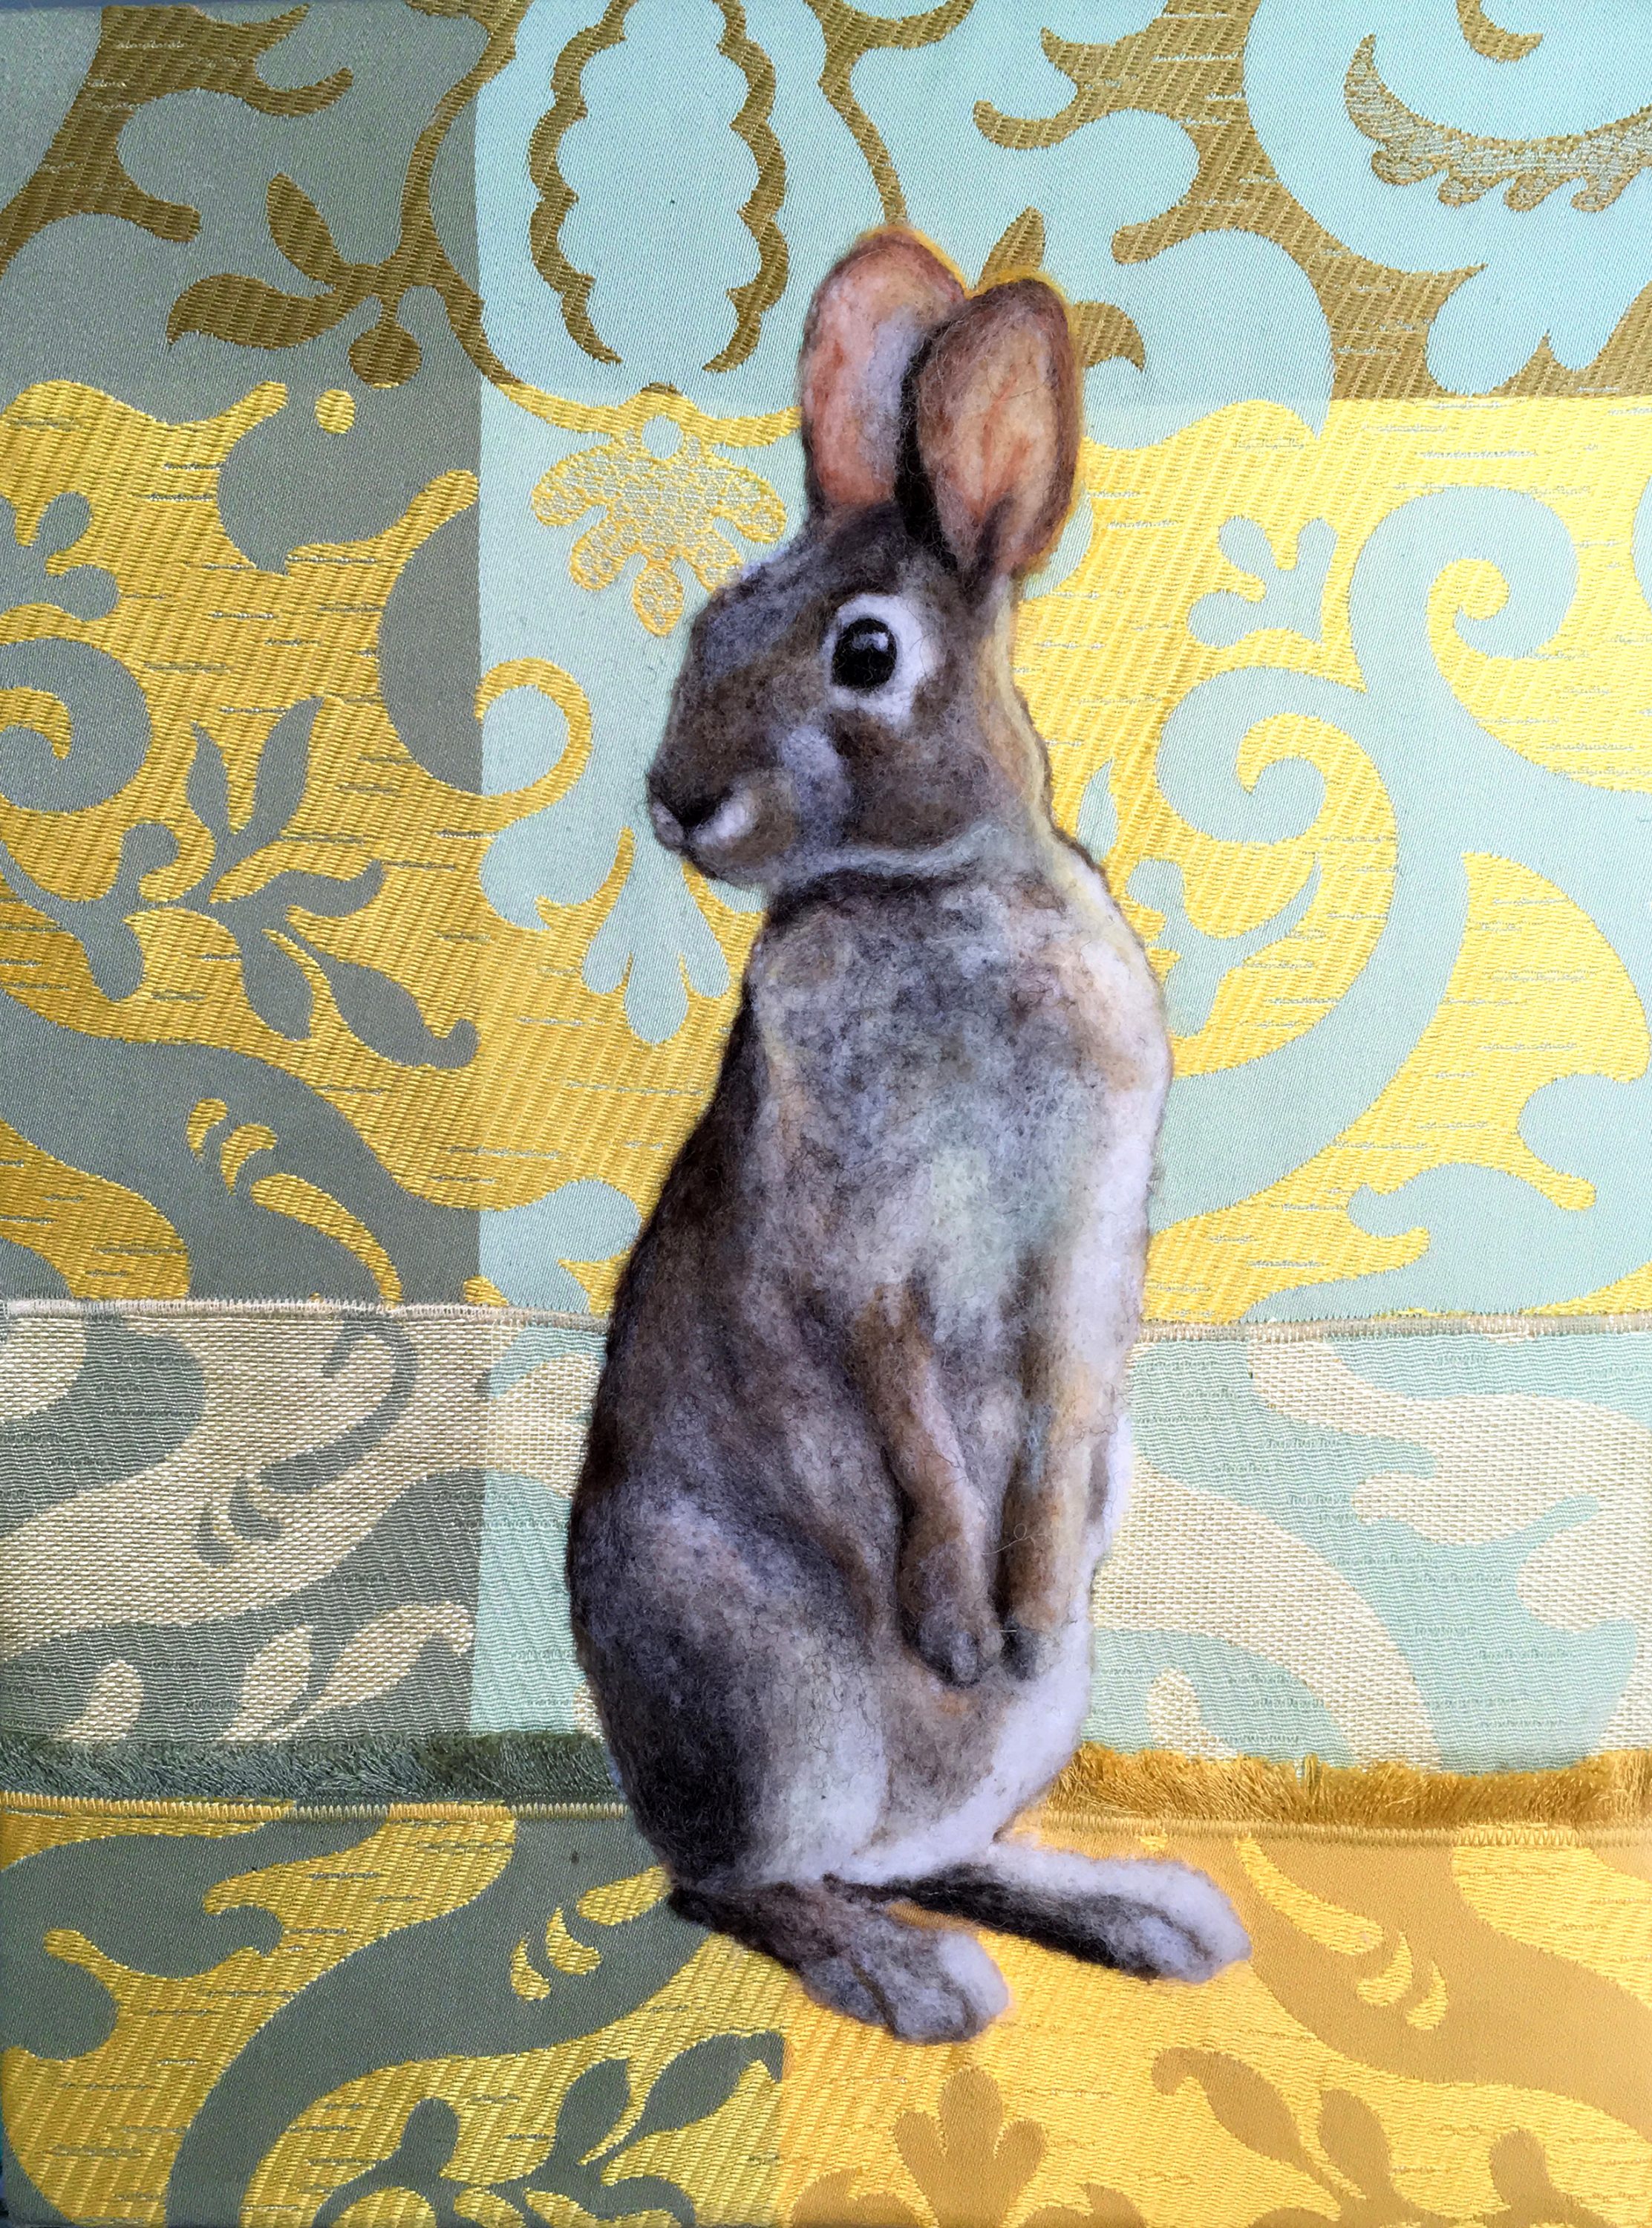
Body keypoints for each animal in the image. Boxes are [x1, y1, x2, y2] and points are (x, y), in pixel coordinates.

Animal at [566, 227, 1249, 2044]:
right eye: (708, 619)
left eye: (863, 656)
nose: (676, 802)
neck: (929, 896)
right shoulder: (863, 1253)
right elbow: (914, 1437)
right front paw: (950, 1619)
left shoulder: (1081, 1254)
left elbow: (1060, 1418)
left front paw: (1026, 1602)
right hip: (769, 1704)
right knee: (741, 1885)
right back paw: (916, 1979)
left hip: (1011, 1739)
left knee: (926, 1853)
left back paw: (1141, 1916)